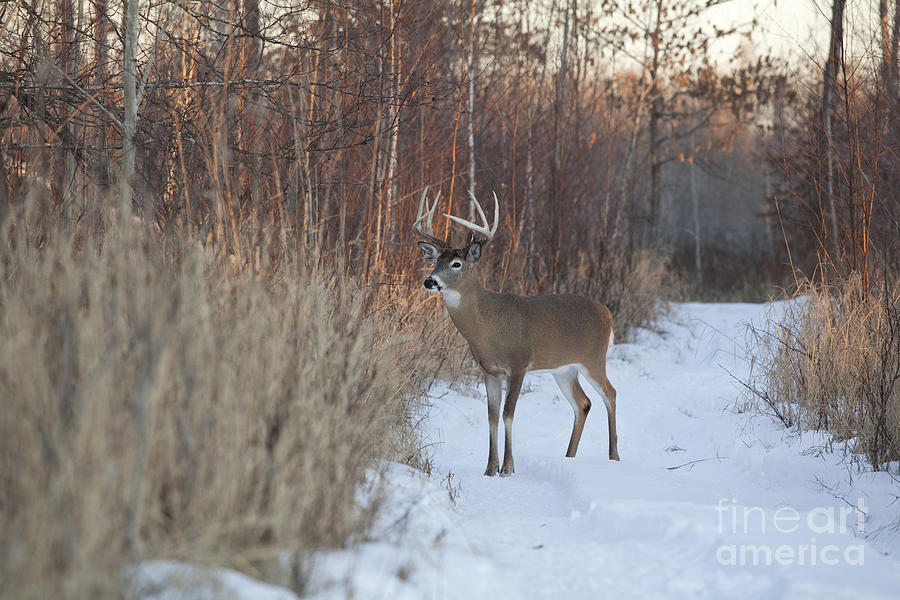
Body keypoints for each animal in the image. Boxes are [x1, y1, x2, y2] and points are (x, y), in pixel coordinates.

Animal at [414, 188, 620, 478]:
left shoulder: (519, 364)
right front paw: (490, 468)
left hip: (594, 359)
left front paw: (508, 467)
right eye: (435, 262)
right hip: (564, 369)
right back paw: (569, 457)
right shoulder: (489, 370)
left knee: (610, 394)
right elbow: (491, 416)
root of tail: (606, 313)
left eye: (456, 264)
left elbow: (508, 413)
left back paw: (614, 457)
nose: (430, 281)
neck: (488, 327)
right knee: (583, 403)